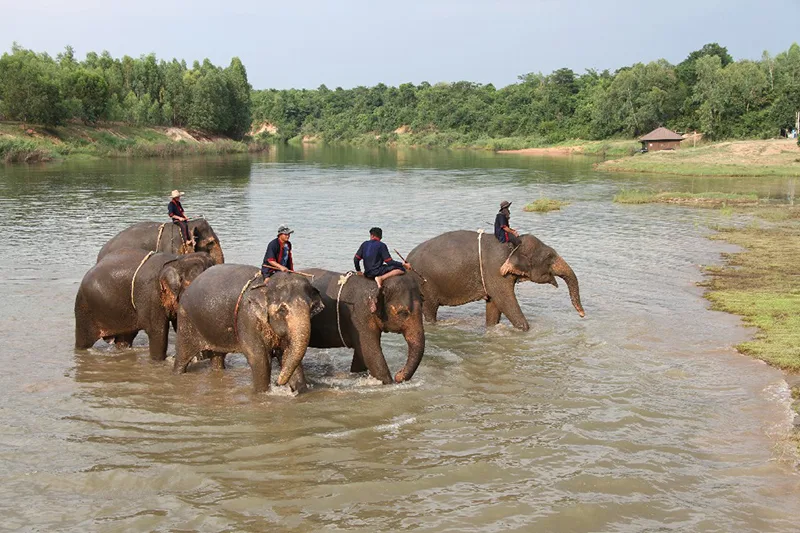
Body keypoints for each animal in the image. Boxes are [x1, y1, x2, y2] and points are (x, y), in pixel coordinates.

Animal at [74, 250, 215, 359]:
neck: (178, 260)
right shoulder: (151, 295)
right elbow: (158, 332)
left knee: (125, 338)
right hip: (84, 308)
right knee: (83, 341)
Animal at [173, 265, 324, 393]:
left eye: (311, 308)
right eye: (282, 310)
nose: (278, 383)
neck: (265, 286)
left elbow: (287, 355)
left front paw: (301, 392)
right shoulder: (247, 318)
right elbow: (259, 359)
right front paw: (263, 394)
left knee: (217, 357)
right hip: (186, 321)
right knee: (182, 356)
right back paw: (177, 373)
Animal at [406, 230, 584, 331]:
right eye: (549, 257)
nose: (582, 315)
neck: (512, 243)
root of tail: (406, 260)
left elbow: (494, 304)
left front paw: (492, 328)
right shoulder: (495, 270)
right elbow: (505, 301)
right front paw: (525, 330)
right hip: (424, 285)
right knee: (430, 310)